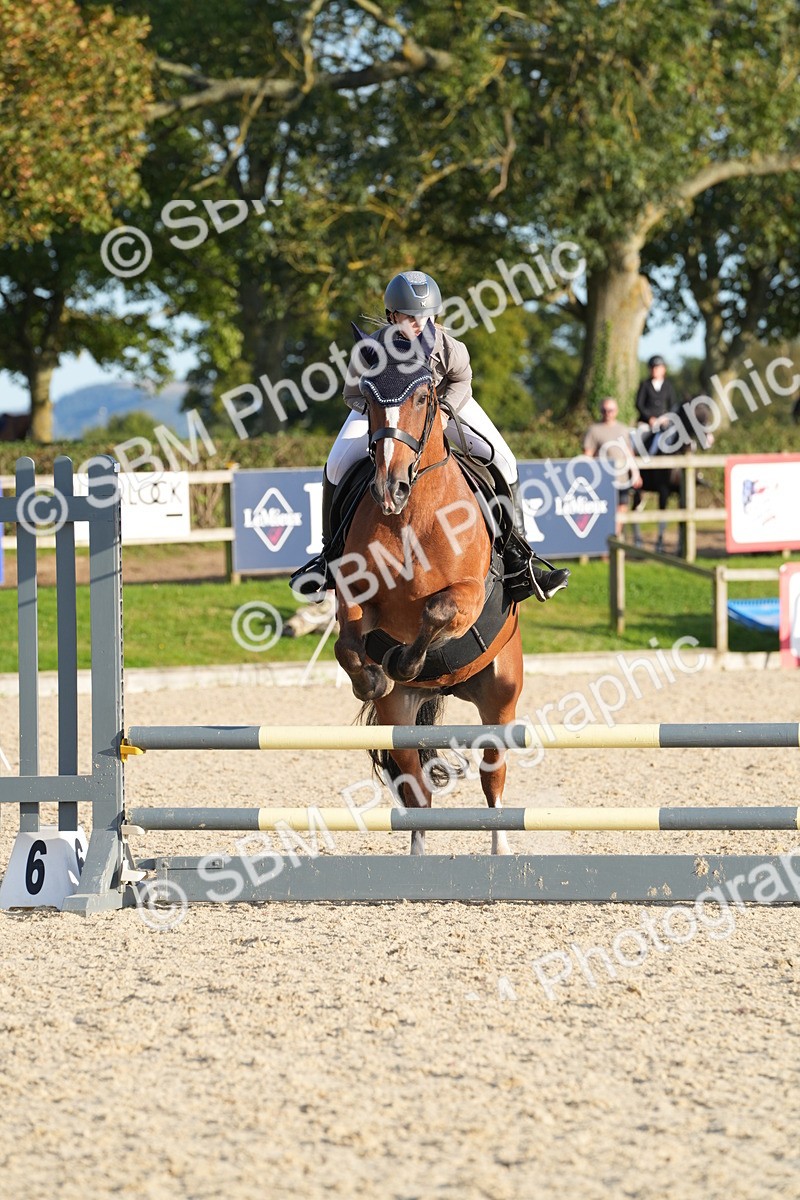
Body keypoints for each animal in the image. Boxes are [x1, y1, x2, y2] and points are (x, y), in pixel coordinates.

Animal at [331, 323, 524, 856]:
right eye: (368, 397)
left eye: (422, 396)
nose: (389, 489)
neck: (411, 516)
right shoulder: (356, 598)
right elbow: (347, 646)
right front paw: (372, 677)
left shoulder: (469, 594)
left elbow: (437, 611)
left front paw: (405, 661)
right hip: (401, 716)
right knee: (417, 791)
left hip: (500, 694)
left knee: (493, 778)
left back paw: (501, 850)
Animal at [631, 399, 714, 553]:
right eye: (693, 415)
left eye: (707, 413)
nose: (709, 440)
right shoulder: (664, 491)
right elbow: (663, 519)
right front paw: (659, 546)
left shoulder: (682, 493)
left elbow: (682, 520)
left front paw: (680, 549)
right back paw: (637, 543)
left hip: (642, 490)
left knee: (635, 511)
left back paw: (637, 543)